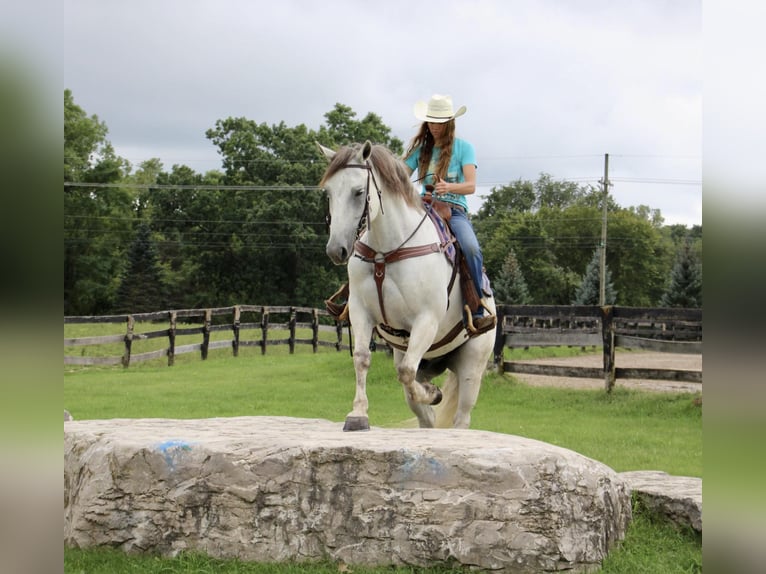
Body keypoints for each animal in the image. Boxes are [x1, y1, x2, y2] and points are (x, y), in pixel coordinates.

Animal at [320, 142, 496, 432]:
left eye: (358, 192)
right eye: (329, 192)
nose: (336, 250)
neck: (387, 251)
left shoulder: (426, 320)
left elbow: (406, 373)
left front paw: (433, 393)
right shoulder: (360, 312)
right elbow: (362, 358)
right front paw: (358, 414)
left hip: (472, 367)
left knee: (460, 417)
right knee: (424, 414)